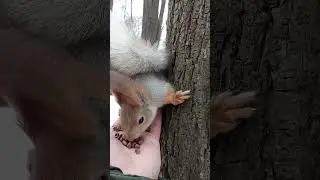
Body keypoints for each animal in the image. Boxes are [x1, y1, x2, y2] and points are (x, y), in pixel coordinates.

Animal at [109, 12, 191, 150]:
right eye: (120, 115)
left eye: (141, 120)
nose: (130, 137)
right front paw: (119, 124)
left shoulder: (157, 91)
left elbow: (168, 93)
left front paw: (176, 97)